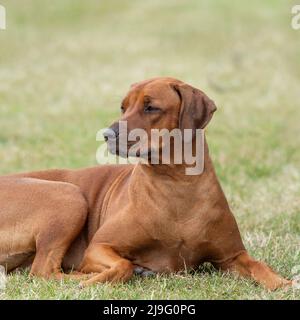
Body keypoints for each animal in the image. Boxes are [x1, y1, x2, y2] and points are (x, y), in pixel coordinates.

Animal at [0, 77, 290, 290]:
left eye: (151, 107)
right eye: (123, 107)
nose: (107, 134)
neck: (177, 183)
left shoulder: (231, 256)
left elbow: (259, 265)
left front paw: (282, 283)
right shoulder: (98, 247)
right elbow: (123, 265)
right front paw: (95, 280)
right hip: (68, 194)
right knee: (43, 271)